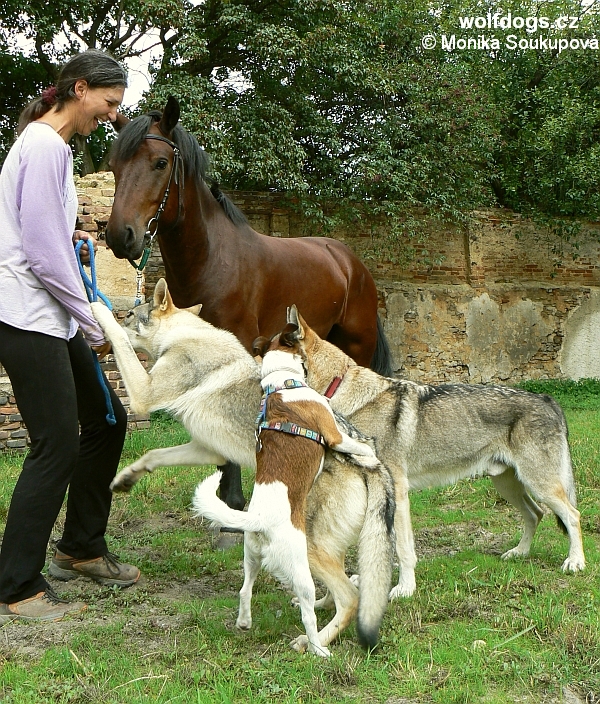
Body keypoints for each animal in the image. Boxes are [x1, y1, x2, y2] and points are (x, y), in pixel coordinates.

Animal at [105, 95, 392, 512]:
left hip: (359, 344)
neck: (211, 259)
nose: (118, 236)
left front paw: (234, 499)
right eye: (114, 166)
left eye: (160, 163)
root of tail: (349, 260)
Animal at [193, 338, 384, 656]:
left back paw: (244, 622)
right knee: (311, 613)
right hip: (302, 567)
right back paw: (318, 649)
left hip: (251, 555)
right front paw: (369, 453)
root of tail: (260, 520)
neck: (281, 386)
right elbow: (356, 445)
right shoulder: (333, 434)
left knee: (245, 589)